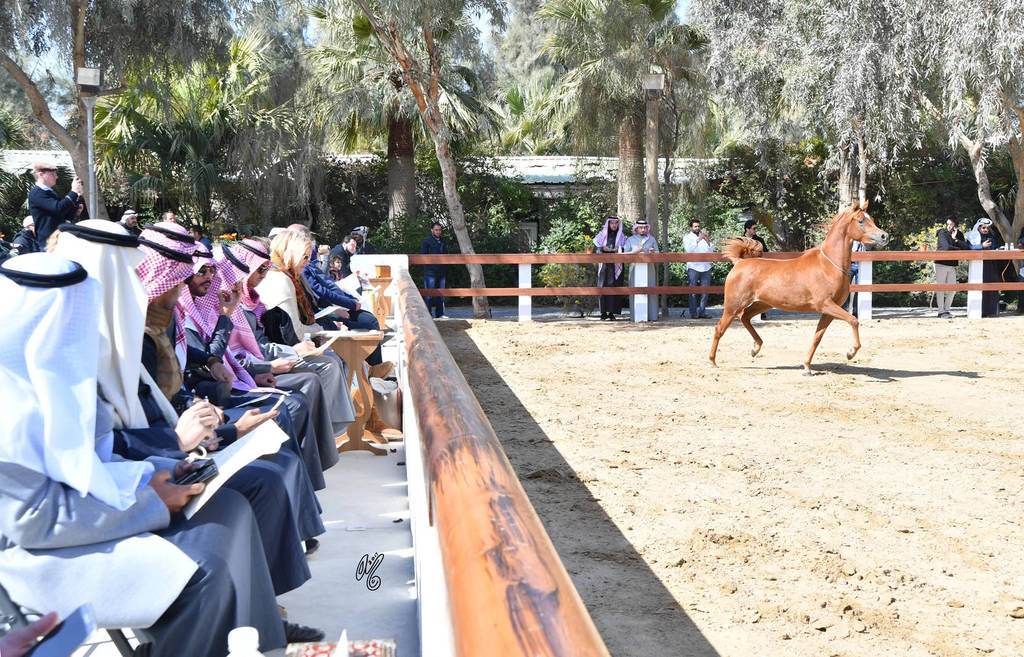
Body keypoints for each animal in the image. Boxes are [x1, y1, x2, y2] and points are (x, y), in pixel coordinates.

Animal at [708, 200, 889, 374]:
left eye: (872, 219)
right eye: (861, 220)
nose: (884, 236)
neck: (828, 266)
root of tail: (740, 262)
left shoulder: (829, 310)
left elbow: (817, 337)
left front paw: (807, 367)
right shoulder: (825, 304)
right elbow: (854, 320)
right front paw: (850, 352)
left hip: (763, 304)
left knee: (745, 317)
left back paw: (755, 348)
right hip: (733, 306)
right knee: (720, 328)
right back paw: (713, 362)